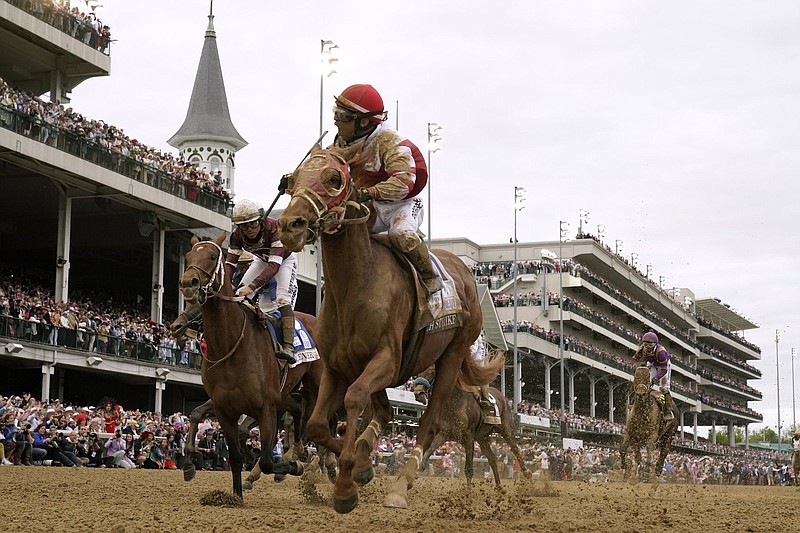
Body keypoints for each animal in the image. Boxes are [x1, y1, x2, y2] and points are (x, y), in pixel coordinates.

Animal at [178, 235, 306, 496]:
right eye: (187, 256)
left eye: (212, 256)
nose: (188, 283)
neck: (230, 345)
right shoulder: (223, 407)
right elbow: (234, 454)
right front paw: (235, 495)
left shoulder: (265, 407)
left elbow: (266, 460)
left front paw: (288, 466)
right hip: (285, 395)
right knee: (297, 412)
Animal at [278, 144, 496, 512]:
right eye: (291, 180)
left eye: (334, 178)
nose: (289, 225)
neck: (355, 284)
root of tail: (465, 270)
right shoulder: (337, 367)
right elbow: (319, 424)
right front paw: (359, 466)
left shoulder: (387, 360)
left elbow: (353, 399)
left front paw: (345, 485)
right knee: (383, 410)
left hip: (451, 357)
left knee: (429, 422)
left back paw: (400, 485)